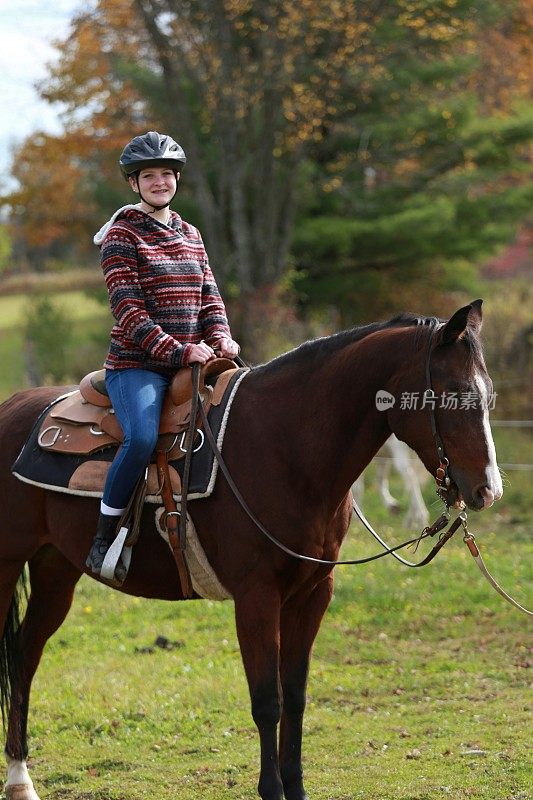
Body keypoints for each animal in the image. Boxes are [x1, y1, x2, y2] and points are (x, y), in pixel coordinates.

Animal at [0, 300, 500, 800]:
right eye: (455, 391)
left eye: (487, 393)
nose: (488, 490)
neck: (286, 448)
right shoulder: (256, 596)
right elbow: (266, 701)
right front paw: (272, 788)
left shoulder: (312, 593)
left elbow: (294, 695)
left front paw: (295, 787)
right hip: (10, 564)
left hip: (56, 570)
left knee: (24, 654)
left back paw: (21, 778)